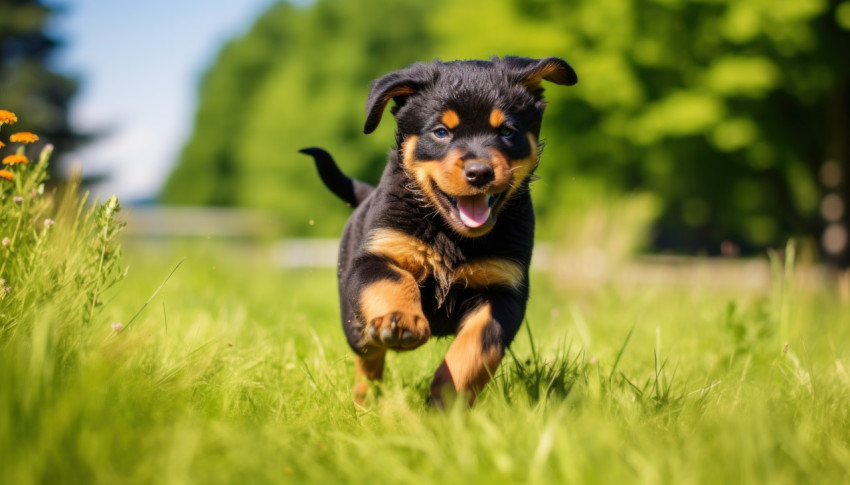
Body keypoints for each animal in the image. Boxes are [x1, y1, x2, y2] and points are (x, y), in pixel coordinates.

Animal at [300, 55, 576, 404]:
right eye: (441, 132)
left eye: (507, 131)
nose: (480, 172)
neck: (453, 235)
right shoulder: (376, 257)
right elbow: (394, 281)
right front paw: (400, 322)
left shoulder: (503, 289)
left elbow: (476, 347)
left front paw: (446, 400)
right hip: (352, 313)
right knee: (367, 353)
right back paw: (367, 397)